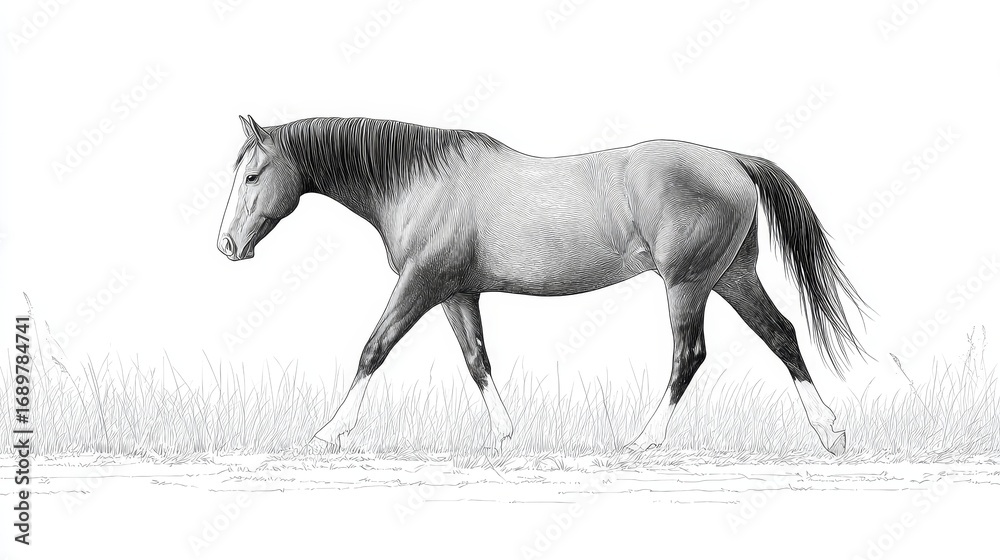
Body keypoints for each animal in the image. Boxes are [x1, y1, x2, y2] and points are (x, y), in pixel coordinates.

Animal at [218, 115, 867, 455]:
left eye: (253, 174)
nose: (227, 245)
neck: (419, 181)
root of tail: (732, 160)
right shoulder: (455, 292)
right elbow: (477, 359)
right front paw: (504, 434)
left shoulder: (421, 283)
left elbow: (373, 348)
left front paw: (329, 430)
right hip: (732, 275)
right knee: (782, 335)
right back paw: (829, 429)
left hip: (687, 283)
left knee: (690, 355)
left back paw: (644, 439)